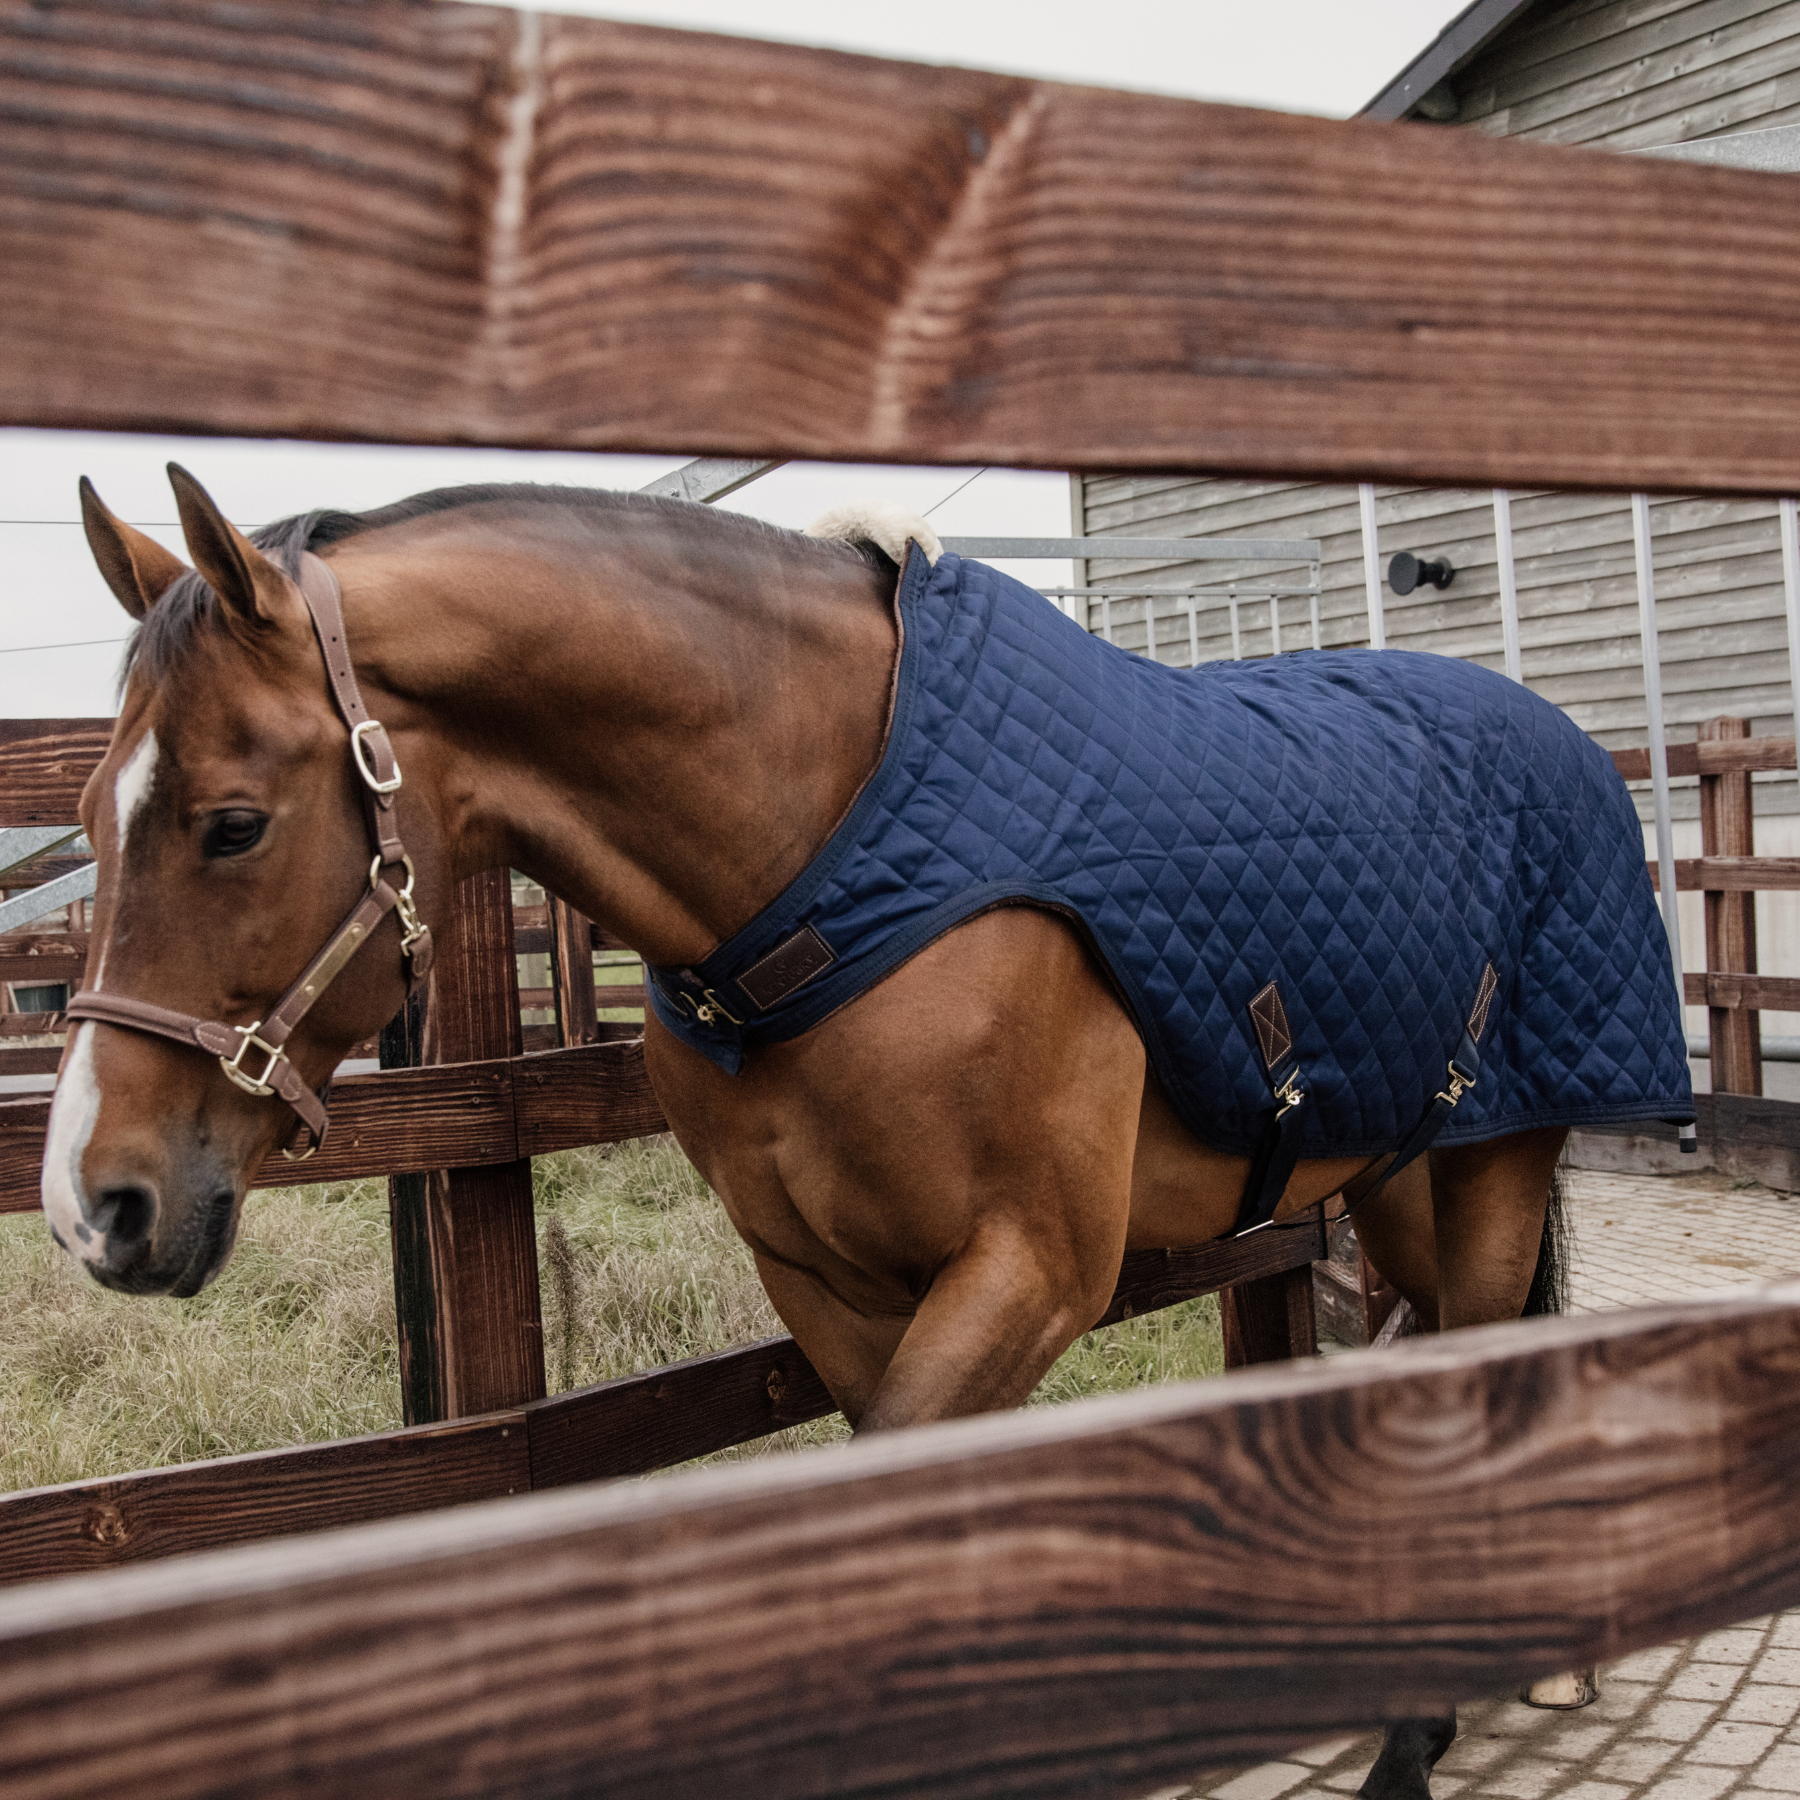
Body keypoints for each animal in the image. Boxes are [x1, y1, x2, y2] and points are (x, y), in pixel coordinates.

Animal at [49, 468, 1692, 1800]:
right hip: (1401, 1167)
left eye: (233, 822)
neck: (835, 851)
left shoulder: (1030, 1270)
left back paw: (1428, 1726)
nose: (93, 1204)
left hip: (1497, 1157)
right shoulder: (825, 1283)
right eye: (86, 812)